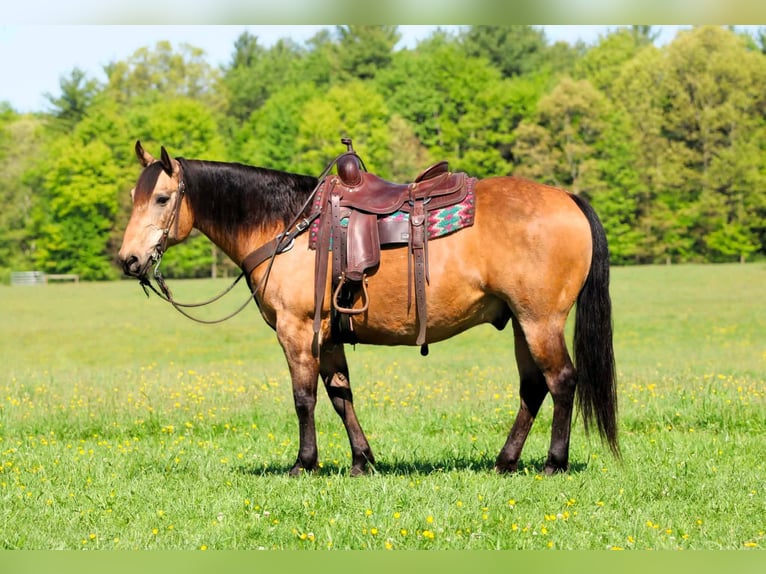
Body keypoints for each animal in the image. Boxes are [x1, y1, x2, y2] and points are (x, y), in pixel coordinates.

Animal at [118, 141, 618, 477]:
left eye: (161, 198)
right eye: (133, 198)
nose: (129, 260)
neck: (287, 226)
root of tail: (568, 198)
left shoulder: (297, 331)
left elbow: (304, 398)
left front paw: (304, 463)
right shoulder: (327, 335)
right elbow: (341, 396)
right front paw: (362, 460)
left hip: (540, 321)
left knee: (562, 381)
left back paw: (554, 462)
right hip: (519, 322)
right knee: (532, 388)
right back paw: (506, 460)